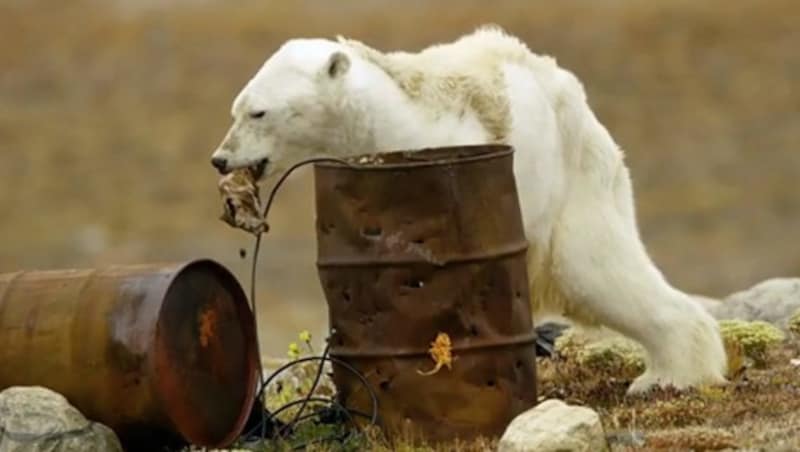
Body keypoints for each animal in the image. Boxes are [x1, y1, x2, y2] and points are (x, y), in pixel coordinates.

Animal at [209, 25, 728, 392]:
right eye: (236, 108)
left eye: (258, 112)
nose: (220, 158)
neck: (383, 119)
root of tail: (574, 99)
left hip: (572, 183)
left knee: (598, 270)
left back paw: (669, 375)